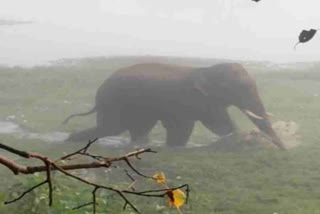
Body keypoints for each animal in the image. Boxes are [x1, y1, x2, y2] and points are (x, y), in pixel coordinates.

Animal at [63, 61, 284, 149]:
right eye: (241, 87)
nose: (283, 150)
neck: (207, 69)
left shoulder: (207, 100)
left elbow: (220, 125)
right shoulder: (186, 99)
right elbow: (185, 126)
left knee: (137, 128)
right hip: (114, 100)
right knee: (112, 128)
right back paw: (70, 140)